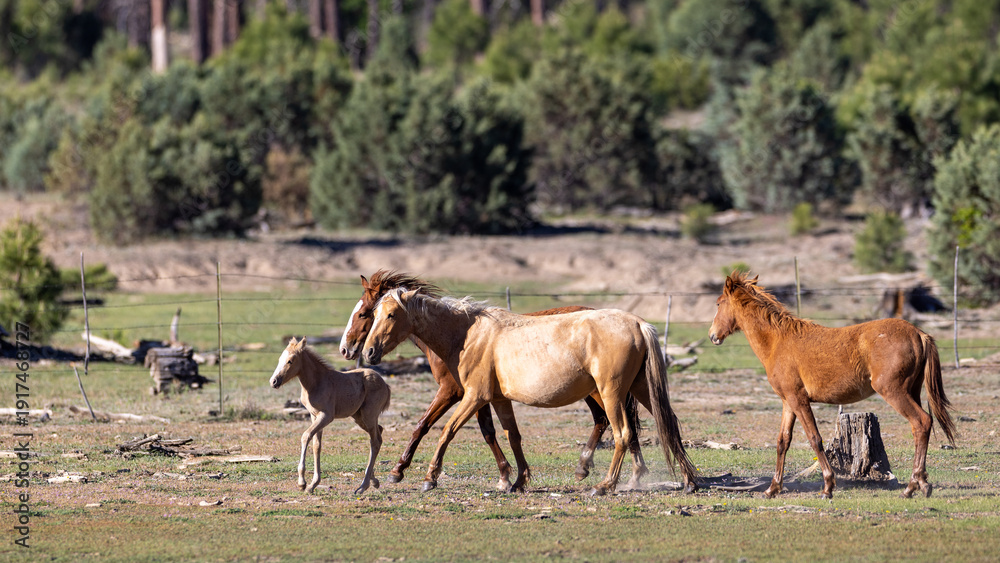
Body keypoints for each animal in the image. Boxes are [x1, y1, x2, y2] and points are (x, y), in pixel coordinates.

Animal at [269, 337, 391, 494]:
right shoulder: (314, 415)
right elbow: (317, 445)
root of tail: (385, 385)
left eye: (290, 361)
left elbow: (306, 436)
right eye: (279, 359)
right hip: (359, 417)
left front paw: (302, 483)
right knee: (379, 433)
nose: (274, 381)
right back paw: (373, 480)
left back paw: (363, 486)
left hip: (369, 415)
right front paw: (313, 484)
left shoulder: (326, 416)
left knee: (375, 440)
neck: (316, 382)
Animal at [362, 288, 697, 496]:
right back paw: (689, 480)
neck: (468, 335)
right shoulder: (498, 399)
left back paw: (603, 485)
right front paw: (518, 480)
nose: (367, 352)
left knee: (623, 434)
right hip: (639, 389)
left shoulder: (473, 396)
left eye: (390, 315)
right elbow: (512, 436)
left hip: (610, 392)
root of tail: (638, 323)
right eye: (373, 314)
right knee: (669, 425)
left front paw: (428, 477)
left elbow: (446, 431)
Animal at [709, 271, 957, 499]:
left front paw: (828, 486)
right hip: (912, 391)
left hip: (894, 391)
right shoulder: (788, 401)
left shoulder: (799, 399)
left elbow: (814, 438)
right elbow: (783, 441)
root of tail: (919, 333)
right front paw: (772, 488)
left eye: (719, 303)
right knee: (923, 425)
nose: (712, 335)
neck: (777, 342)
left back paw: (912, 486)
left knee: (921, 422)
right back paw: (922, 483)